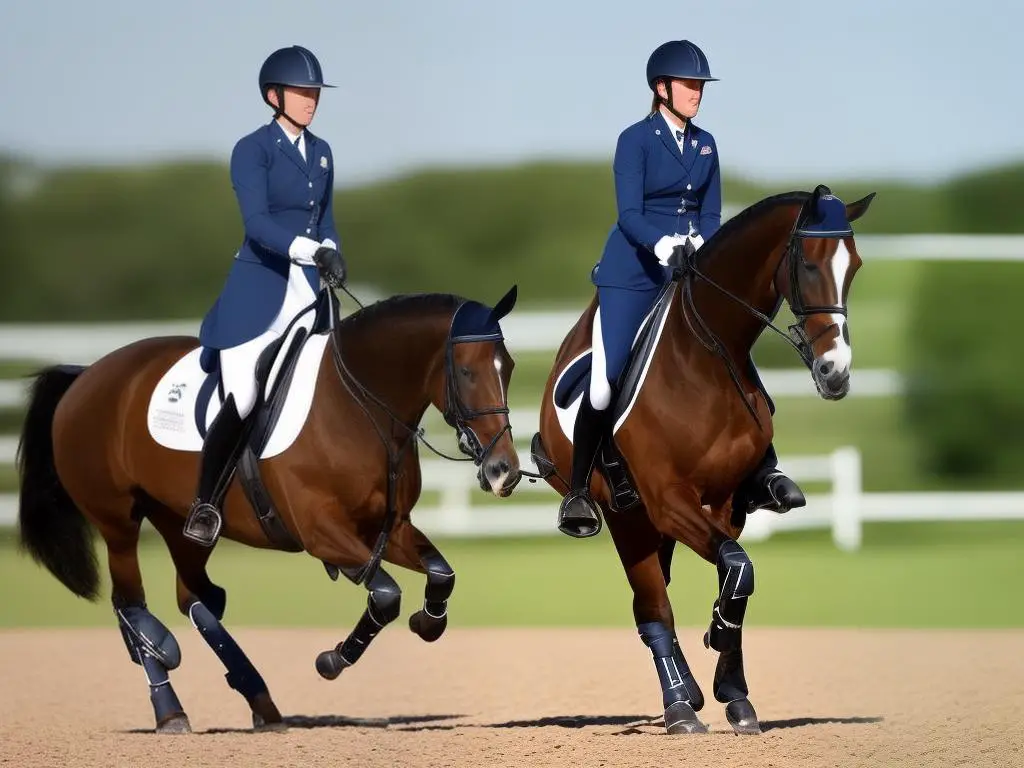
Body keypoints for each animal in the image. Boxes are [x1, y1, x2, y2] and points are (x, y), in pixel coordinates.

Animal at [18, 284, 520, 733]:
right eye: (468, 372)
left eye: (509, 366)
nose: (504, 471)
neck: (357, 407)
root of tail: (87, 374)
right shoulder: (321, 533)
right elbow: (385, 594)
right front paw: (333, 659)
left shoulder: (387, 529)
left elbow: (441, 575)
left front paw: (428, 623)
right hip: (117, 521)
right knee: (130, 602)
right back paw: (168, 703)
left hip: (184, 524)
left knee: (195, 596)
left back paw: (258, 698)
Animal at [532, 188, 876, 741]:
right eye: (808, 263)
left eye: (855, 266)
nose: (835, 372)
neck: (703, 356)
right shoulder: (670, 501)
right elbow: (737, 568)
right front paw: (716, 645)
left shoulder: (728, 505)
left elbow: (737, 578)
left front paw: (734, 691)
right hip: (628, 517)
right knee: (653, 609)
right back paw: (679, 706)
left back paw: (691, 693)